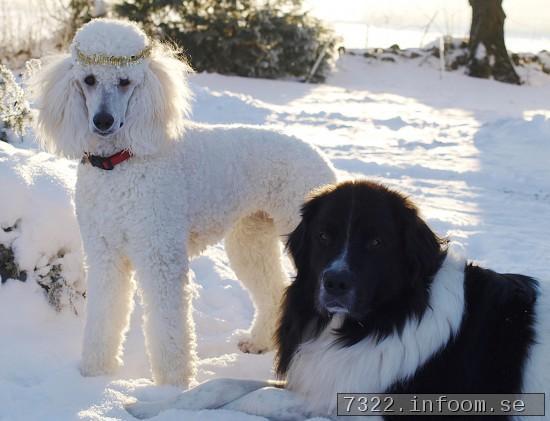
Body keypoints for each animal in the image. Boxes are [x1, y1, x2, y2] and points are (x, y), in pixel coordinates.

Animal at [126, 179, 550, 418]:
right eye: (324, 236)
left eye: (377, 242)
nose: (335, 283)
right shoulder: (321, 372)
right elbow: (222, 386)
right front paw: (145, 406)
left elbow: (258, 397)